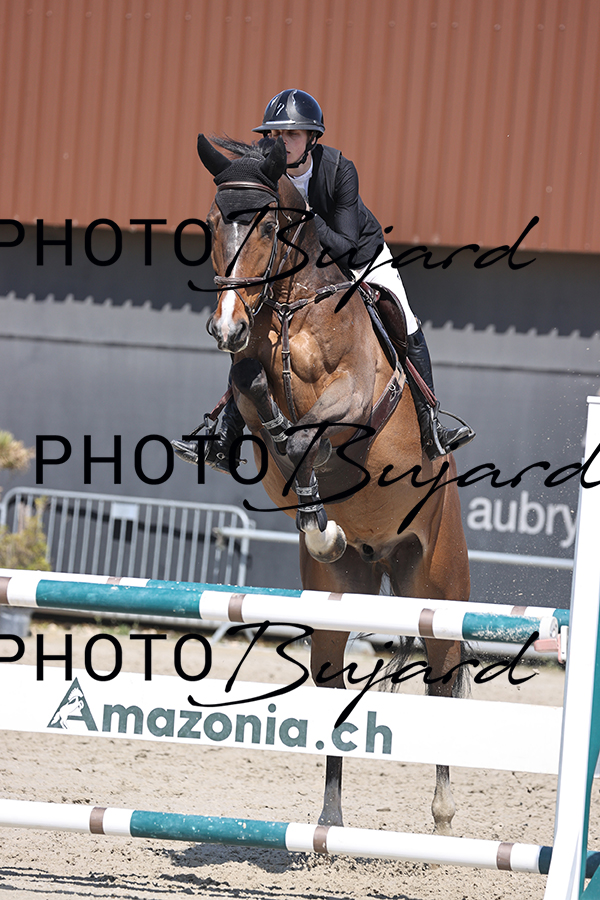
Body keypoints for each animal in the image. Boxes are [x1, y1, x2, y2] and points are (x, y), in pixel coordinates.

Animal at [194, 134, 471, 835]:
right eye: (211, 223)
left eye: (267, 226)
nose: (226, 328)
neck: (292, 309)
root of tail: (382, 556)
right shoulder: (254, 390)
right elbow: (263, 407)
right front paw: (318, 521)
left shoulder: (358, 401)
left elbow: (312, 434)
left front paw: (320, 511)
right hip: (337, 599)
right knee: (331, 687)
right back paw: (330, 818)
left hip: (438, 582)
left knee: (443, 677)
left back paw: (442, 813)